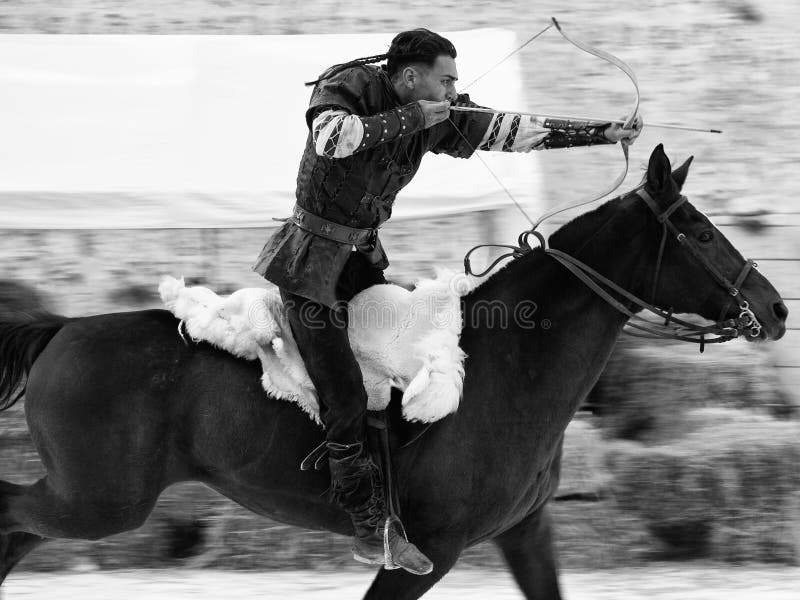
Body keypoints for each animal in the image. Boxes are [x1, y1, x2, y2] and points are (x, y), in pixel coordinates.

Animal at [0, 146, 788, 600]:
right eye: (697, 231)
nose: (775, 307)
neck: (507, 368)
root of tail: (63, 328)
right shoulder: (429, 555)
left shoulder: (525, 534)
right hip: (99, 503)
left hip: (84, 501)